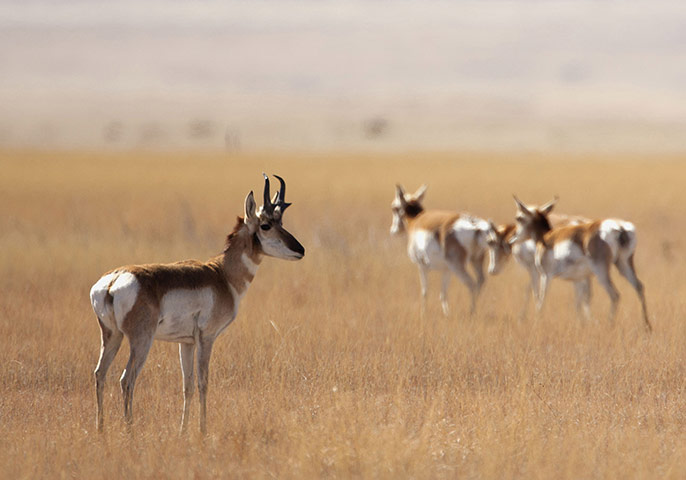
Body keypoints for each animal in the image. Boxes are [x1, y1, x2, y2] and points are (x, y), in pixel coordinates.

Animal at [89, 174, 305, 434]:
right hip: (141, 341)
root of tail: (113, 281)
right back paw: (130, 431)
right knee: (126, 379)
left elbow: (188, 385)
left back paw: (101, 430)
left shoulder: (186, 343)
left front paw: (183, 431)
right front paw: (203, 430)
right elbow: (204, 382)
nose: (300, 250)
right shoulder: (206, 338)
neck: (221, 274)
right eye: (266, 225)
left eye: (280, 221)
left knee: (100, 374)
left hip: (113, 336)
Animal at [390, 184, 490, 316]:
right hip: (476, 260)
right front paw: (447, 314)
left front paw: (423, 314)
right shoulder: (446, 270)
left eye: (394, 208)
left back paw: (471, 313)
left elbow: (424, 291)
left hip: (457, 266)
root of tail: (474, 224)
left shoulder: (422, 266)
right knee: (481, 281)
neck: (416, 220)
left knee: (471, 284)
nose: (393, 230)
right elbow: (443, 294)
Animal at [510, 196, 651, 331]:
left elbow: (541, 300)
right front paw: (581, 325)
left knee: (615, 295)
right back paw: (647, 326)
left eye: (518, 218)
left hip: (601, 271)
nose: (512, 239)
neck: (545, 237)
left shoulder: (546, 276)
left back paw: (609, 326)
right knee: (639, 287)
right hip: (623, 264)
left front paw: (537, 323)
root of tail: (620, 227)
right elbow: (578, 303)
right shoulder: (578, 279)